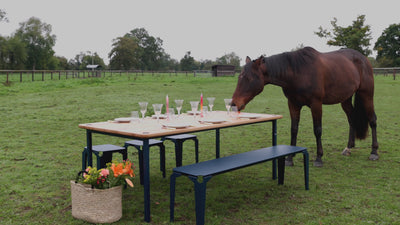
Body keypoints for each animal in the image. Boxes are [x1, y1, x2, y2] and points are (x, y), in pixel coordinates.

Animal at [231, 47, 378, 167]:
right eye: (239, 77)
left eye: (249, 78)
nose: (234, 104)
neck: (298, 72)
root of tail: (363, 58)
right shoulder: (293, 104)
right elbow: (294, 129)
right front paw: (290, 158)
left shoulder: (316, 104)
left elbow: (317, 130)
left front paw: (319, 158)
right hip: (345, 99)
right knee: (352, 119)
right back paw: (348, 148)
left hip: (366, 95)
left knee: (372, 120)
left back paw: (374, 152)